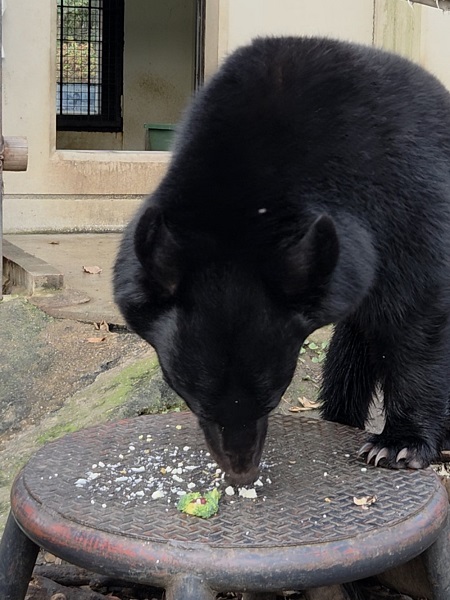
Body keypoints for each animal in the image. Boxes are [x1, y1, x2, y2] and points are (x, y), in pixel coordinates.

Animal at [114, 36, 450, 486]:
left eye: (272, 397)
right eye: (193, 399)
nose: (242, 472)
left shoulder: (405, 198)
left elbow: (417, 314)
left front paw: (398, 445)